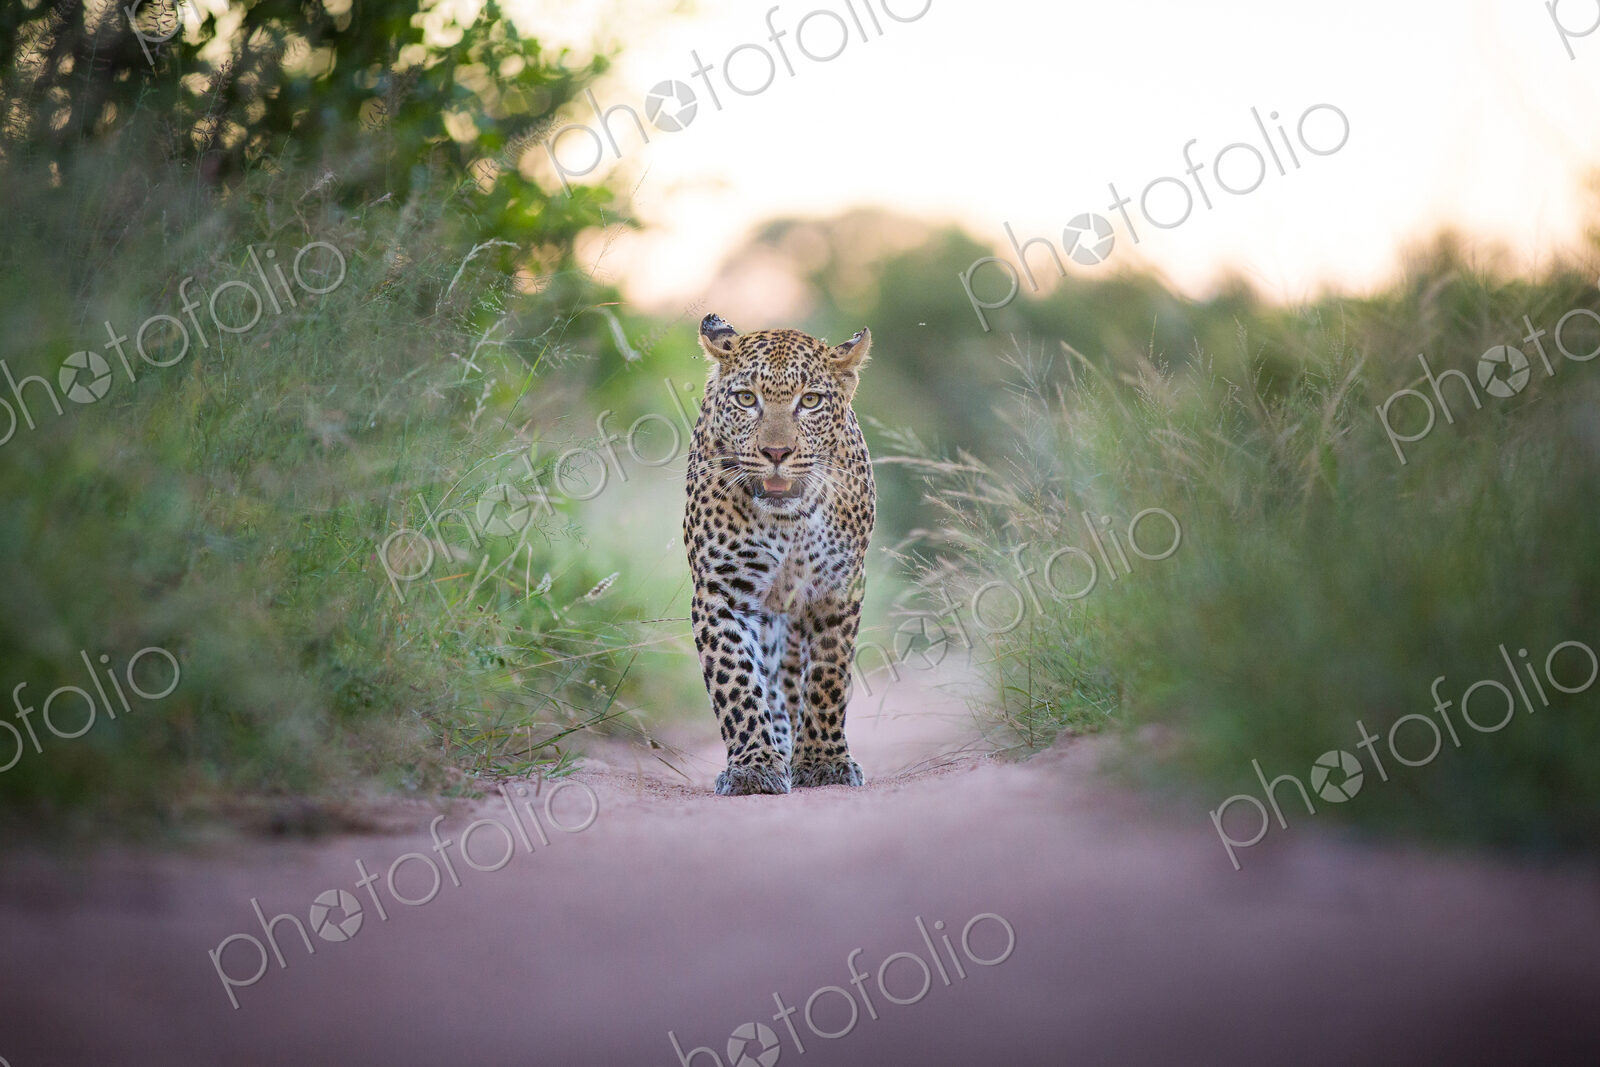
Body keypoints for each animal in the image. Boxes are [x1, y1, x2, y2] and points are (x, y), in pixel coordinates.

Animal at [683, 313, 876, 796]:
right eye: (746, 399)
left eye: (809, 401)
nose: (776, 453)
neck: (788, 521)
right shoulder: (722, 593)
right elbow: (735, 679)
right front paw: (753, 767)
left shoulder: (837, 590)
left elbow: (827, 677)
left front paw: (824, 762)